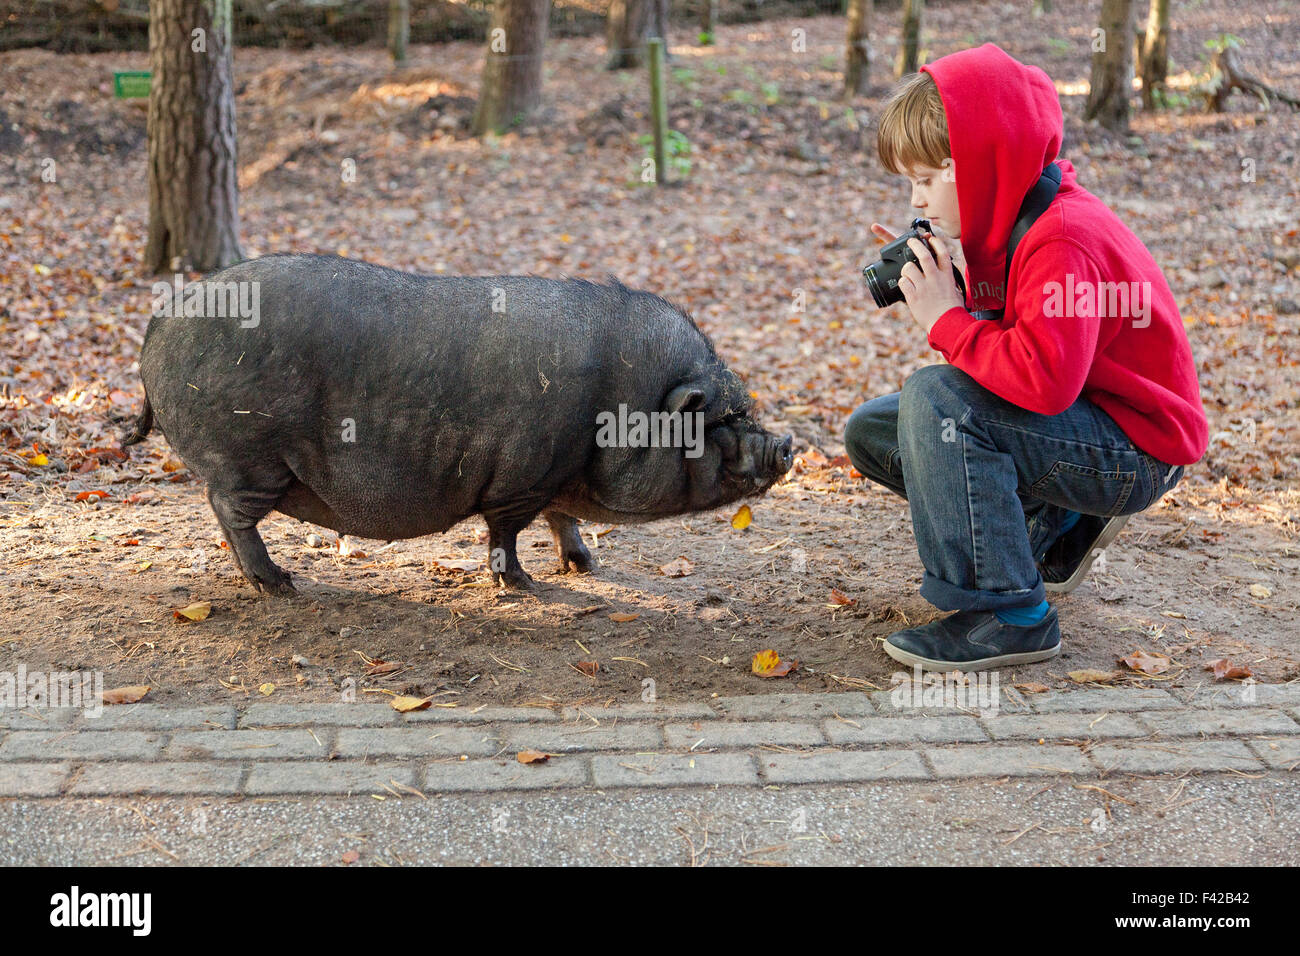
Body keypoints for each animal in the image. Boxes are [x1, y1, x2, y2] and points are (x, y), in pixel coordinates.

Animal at [124, 257, 790, 595]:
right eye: (725, 418)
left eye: (744, 408)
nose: (786, 445)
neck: (619, 405)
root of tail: (158, 322)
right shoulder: (522, 474)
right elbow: (506, 532)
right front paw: (524, 585)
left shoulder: (554, 476)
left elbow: (562, 519)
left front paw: (586, 567)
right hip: (246, 457)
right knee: (228, 512)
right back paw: (281, 585)